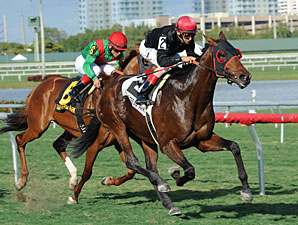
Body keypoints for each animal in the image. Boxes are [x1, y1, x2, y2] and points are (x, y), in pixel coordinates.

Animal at [0, 48, 140, 190]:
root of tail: (38, 87)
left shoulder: (116, 139)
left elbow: (131, 171)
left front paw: (107, 180)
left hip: (72, 129)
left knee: (57, 144)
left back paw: (73, 178)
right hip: (38, 126)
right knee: (20, 139)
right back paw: (21, 180)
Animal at [70, 32, 254, 215]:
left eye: (237, 53)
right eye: (221, 54)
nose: (245, 77)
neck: (187, 97)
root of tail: (107, 86)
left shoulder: (202, 140)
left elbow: (234, 147)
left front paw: (246, 191)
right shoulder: (167, 144)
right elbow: (189, 170)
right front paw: (175, 176)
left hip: (144, 137)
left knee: (150, 167)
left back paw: (169, 204)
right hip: (117, 127)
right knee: (132, 162)